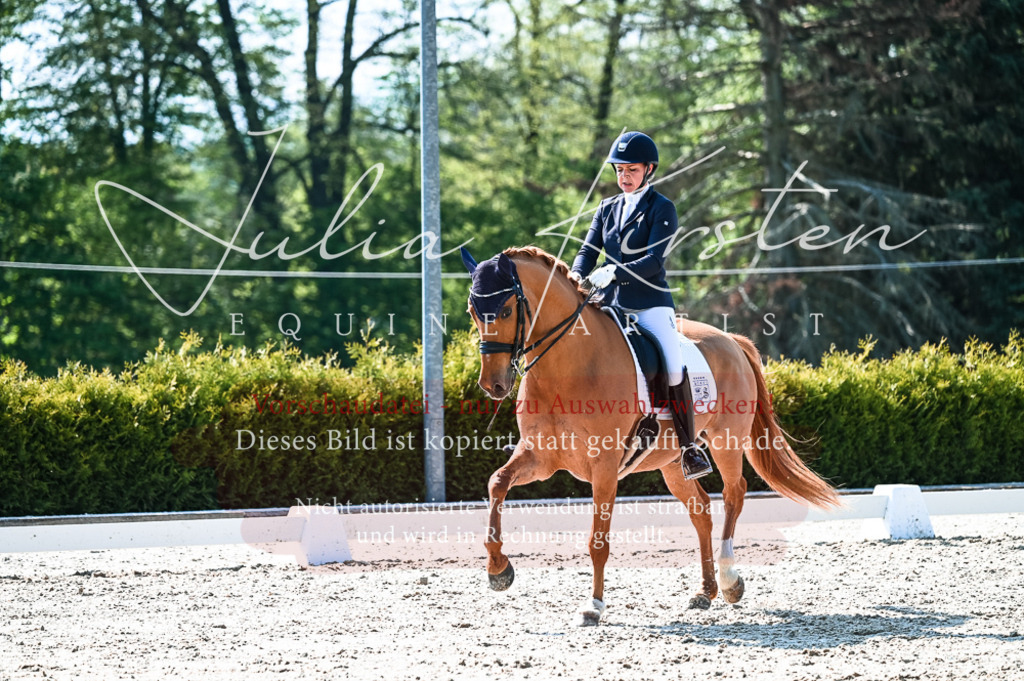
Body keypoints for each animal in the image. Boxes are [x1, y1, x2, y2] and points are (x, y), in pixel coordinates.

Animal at [461, 245, 839, 626]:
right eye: (473, 312)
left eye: (506, 310)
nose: (493, 385)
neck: (568, 365)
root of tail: (732, 340)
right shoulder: (541, 457)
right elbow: (497, 483)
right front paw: (498, 570)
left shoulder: (605, 465)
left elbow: (598, 541)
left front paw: (594, 605)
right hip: (673, 462)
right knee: (701, 509)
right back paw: (705, 592)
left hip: (726, 441)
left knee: (734, 493)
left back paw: (729, 580)